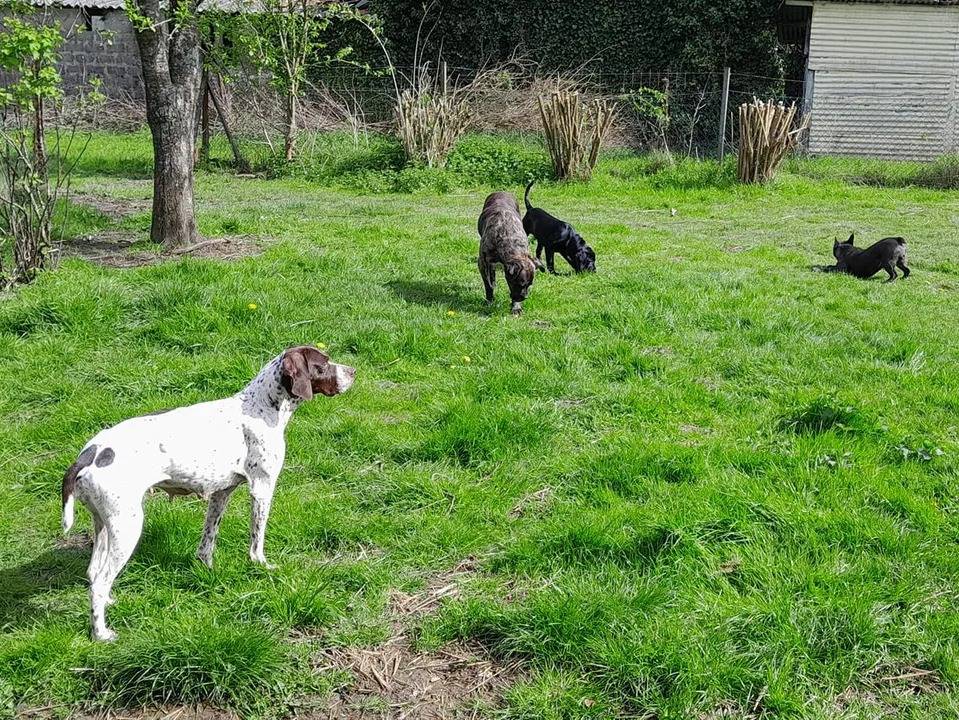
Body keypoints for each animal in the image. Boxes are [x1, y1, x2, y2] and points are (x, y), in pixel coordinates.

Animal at [60, 345, 355, 641]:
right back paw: (101, 633)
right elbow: (257, 539)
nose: (353, 371)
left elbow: (208, 539)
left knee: (94, 573)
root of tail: (89, 454)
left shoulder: (220, 494)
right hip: (128, 527)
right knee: (100, 582)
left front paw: (207, 568)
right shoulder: (262, 488)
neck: (260, 407)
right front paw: (261, 565)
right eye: (323, 364)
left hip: (104, 525)